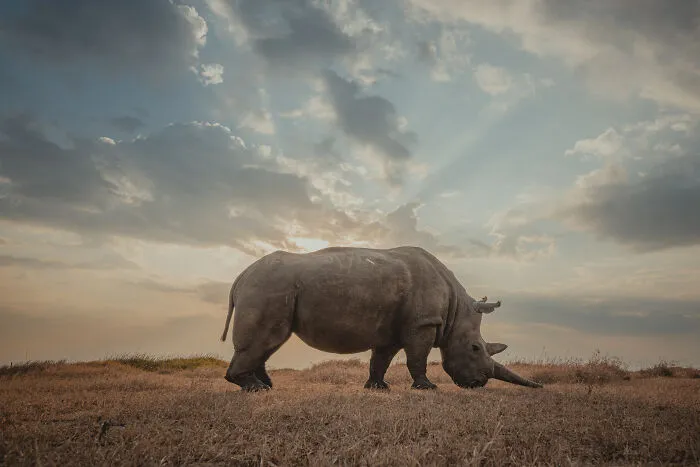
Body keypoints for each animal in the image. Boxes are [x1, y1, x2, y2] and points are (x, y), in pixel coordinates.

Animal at [220, 246, 543, 391]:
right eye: (475, 348)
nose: (478, 384)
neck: (455, 311)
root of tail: (240, 276)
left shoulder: (393, 330)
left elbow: (382, 359)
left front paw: (378, 388)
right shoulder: (424, 323)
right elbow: (417, 357)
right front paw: (427, 388)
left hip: (269, 285)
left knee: (271, 341)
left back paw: (267, 386)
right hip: (268, 286)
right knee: (267, 338)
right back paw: (255, 389)